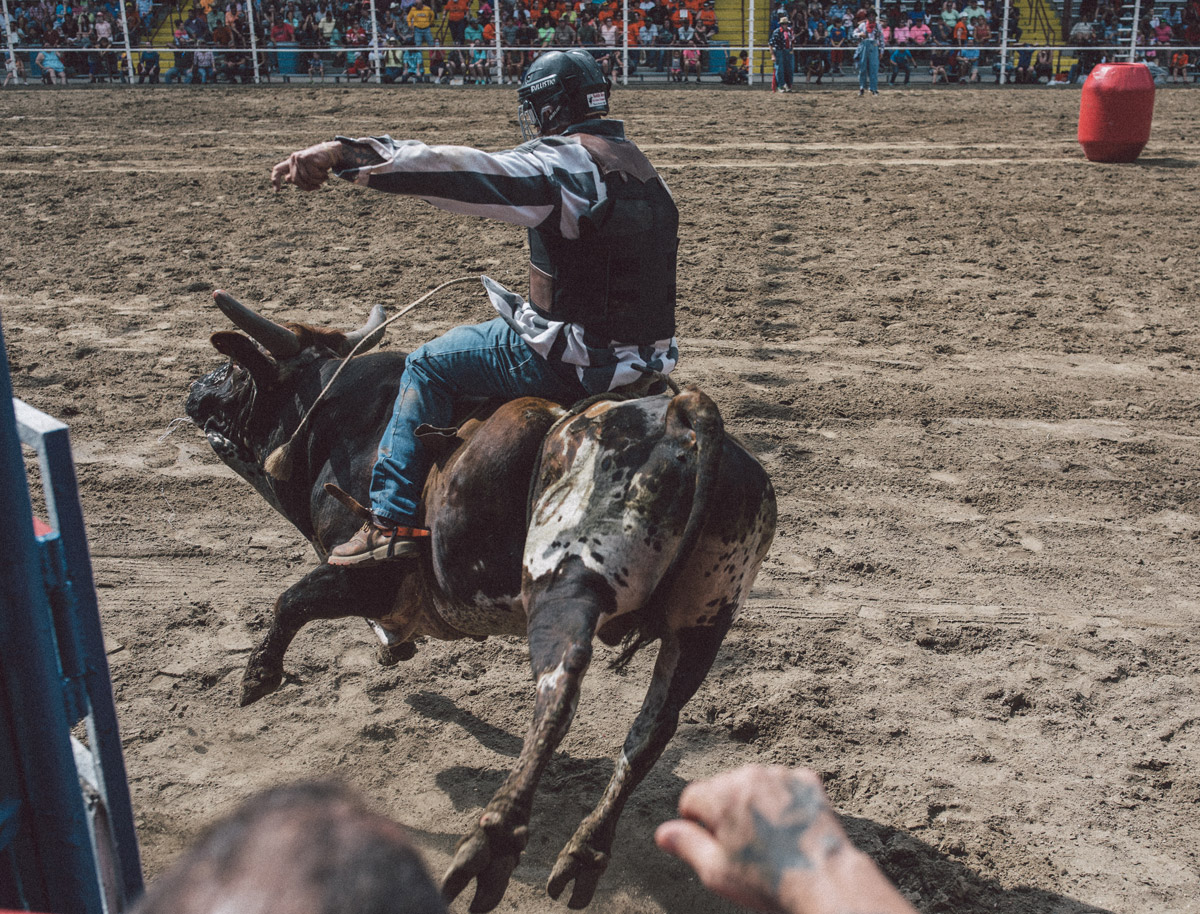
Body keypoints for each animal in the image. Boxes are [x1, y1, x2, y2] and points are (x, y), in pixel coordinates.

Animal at [182, 287, 772, 906]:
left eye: (231, 369)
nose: (194, 390)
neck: (343, 423)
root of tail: (685, 418)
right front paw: (393, 646)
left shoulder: (364, 572)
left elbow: (292, 601)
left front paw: (259, 674)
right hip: (703, 628)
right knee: (651, 731)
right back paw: (585, 852)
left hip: (567, 586)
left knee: (558, 698)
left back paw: (492, 847)